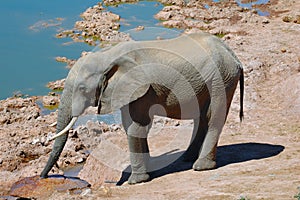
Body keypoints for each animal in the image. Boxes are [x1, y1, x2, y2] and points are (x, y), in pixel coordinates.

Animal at [41, 32, 244, 184]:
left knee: (212, 118)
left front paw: (135, 181)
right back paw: (186, 159)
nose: (44, 177)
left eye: (83, 89)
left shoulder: (142, 88)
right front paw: (149, 171)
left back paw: (201, 166)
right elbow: (132, 125)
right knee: (201, 118)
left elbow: (135, 127)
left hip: (221, 80)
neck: (108, 55)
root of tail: (233, 55)